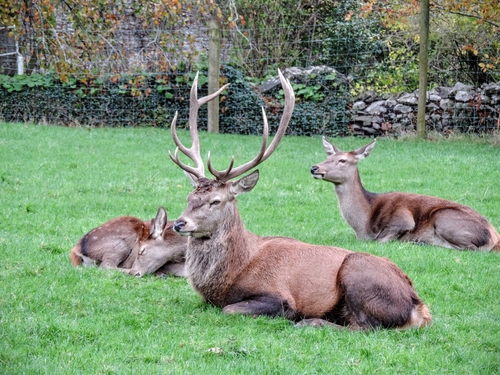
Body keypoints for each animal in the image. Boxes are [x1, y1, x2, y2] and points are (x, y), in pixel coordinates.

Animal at [166, 70, 432, 328]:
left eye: (216, 201)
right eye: (189, 197)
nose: (179, 223)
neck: (231, 275)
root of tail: (419, 308)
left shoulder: (278, 296)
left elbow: (230, 309)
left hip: (358, 271)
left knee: (367, 326)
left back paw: (311, 322)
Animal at [310, 138, 498, 253]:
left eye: (342, 160)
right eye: (327, 156)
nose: (314, 167)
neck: (363, 225)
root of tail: (495, 238)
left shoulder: (402, 219)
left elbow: (381, 239)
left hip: (445, 217)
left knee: (470, 248)